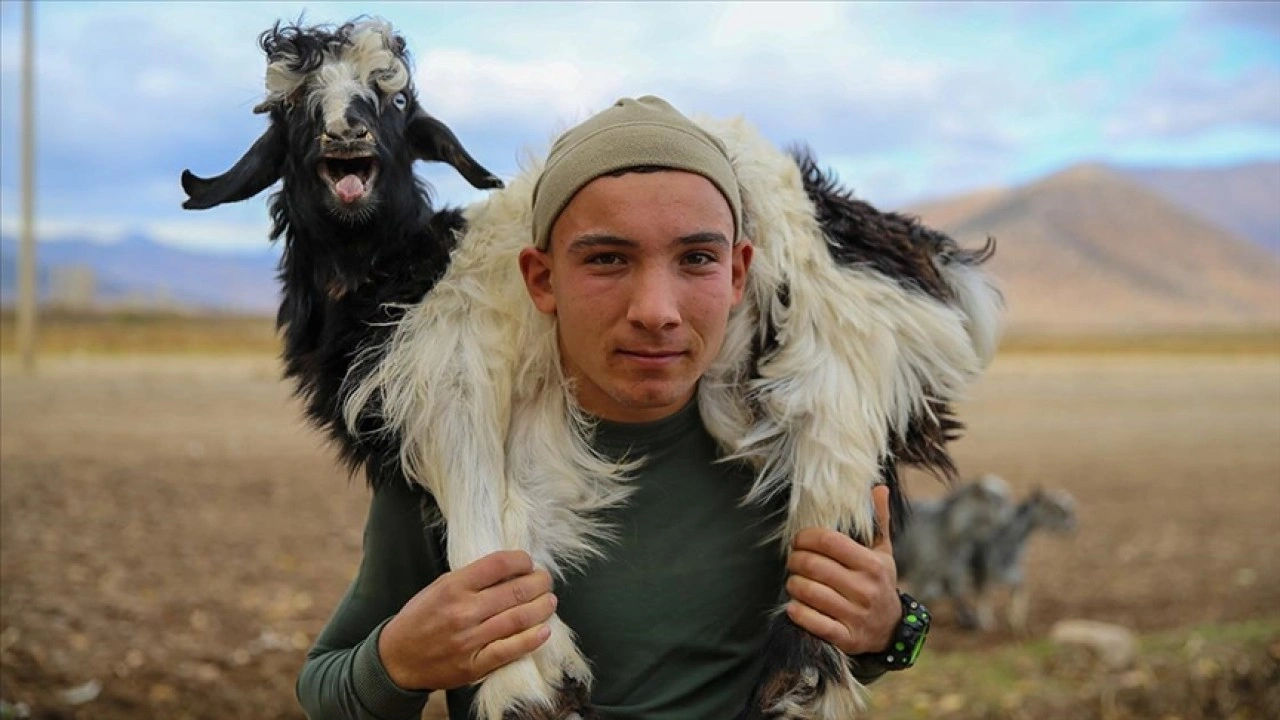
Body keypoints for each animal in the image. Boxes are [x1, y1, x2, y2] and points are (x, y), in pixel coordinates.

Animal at [180, 16, 1003, 717]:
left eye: (398, 98)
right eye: (285, 109)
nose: (345, 130)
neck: (403, 277)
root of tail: (881, 231)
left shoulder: (451, 385)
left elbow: (483, 531)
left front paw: (526, 691)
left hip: (832, 353)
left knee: (832, 507)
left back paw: (796, 681)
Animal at [962, 484, 1075, 630]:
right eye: (1053, 506)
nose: (1072, 526)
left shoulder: (1008, 571)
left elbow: (1020, 585)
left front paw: (1015, 620)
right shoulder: (986, 571)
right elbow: (985, 594)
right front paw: (987, 623)